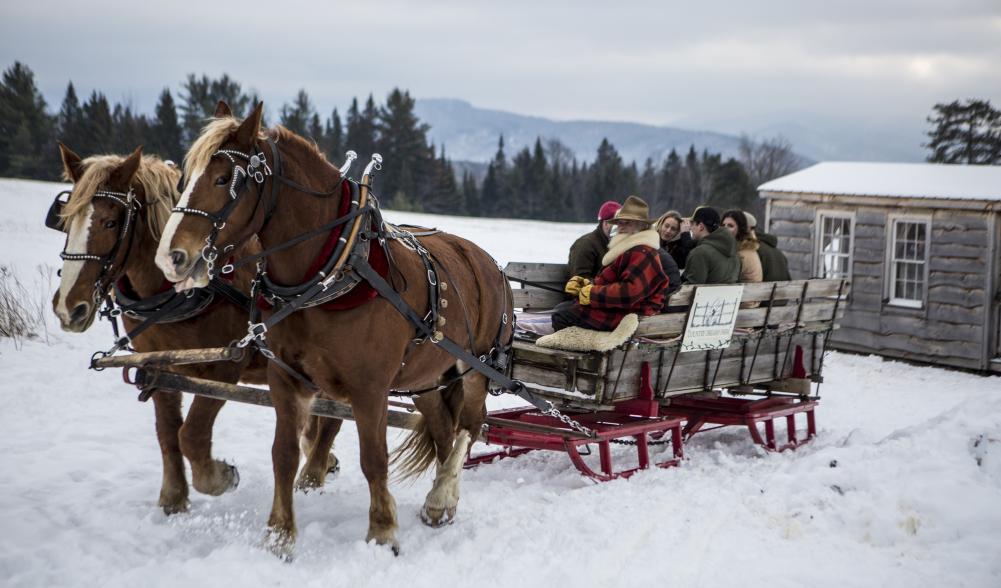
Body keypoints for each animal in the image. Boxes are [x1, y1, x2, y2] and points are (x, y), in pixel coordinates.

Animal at [53, 146, 344, 516]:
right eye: (64, 222)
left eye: (110, 222)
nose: (67, 308)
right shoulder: (157, 366)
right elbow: (167, 433)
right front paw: (173, 498)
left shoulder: (224, 367)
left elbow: (190, 434)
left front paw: (218, 477)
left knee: (334, 417)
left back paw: (313, 473)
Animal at [156, 103, 516, 560]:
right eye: (184, 180)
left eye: (223, 179)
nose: (170, 257)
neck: (333, 268)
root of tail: (489, 262)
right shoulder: (287, 378)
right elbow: (284, 454)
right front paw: (279, 536)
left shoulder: (370, 387)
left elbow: (373, 458)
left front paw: (382, 532)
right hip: (427, 377)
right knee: (442, 429)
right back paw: (440, 500)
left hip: (477, 368)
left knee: (470, 426)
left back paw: (443, 496)